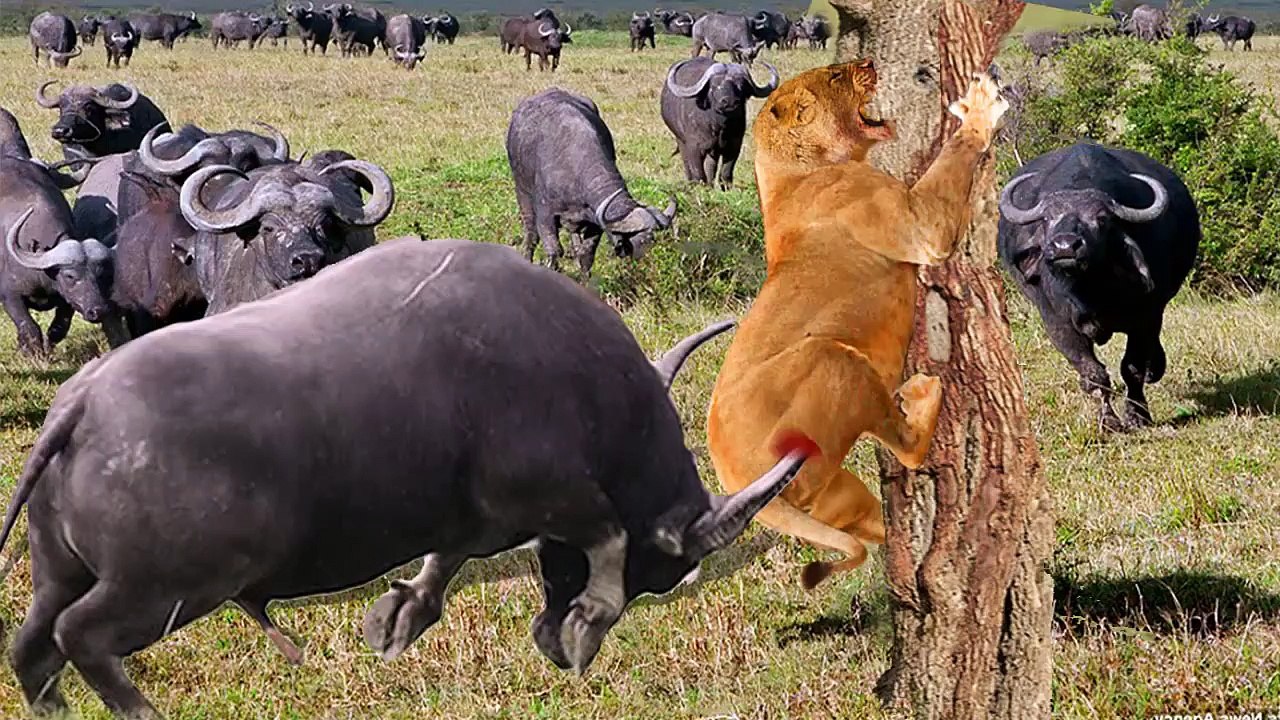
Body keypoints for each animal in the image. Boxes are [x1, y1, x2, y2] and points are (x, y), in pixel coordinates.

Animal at [705, 59, 1009, 589]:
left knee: (879, 534)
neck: (796, 174)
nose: (868, 64)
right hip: (831, 359)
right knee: (908, 449)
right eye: (834, 75)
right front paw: (978, 108)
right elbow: (954, 156)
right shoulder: (921, 225)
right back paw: (921, 394)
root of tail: (737, 484)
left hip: (836, 496)